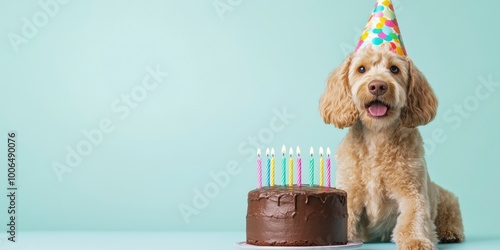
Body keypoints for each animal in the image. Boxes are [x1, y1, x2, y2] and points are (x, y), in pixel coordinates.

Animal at [320, 44, 464, 249]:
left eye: (394, 69)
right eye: (361, 69)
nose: (377, 86)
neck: (377, 135)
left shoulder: (412, 190)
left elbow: (414, 217)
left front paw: (416, 240)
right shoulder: (351, 191)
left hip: (445, 197)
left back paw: (450, 232)